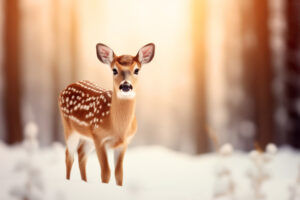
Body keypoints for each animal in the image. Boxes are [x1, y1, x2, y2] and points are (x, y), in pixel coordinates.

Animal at [59, 42, 156, 186]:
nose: (125, 86)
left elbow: (119, 173)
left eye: (137, 70)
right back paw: (68, 181)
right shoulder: (99, 137)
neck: (117, 128)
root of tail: (65, 88)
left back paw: (85, 182)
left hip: (88, 137)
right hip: (69, 128)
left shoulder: (123, 143)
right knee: (69, 155)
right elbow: (106, 173)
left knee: (81, 154)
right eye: (114, 70)